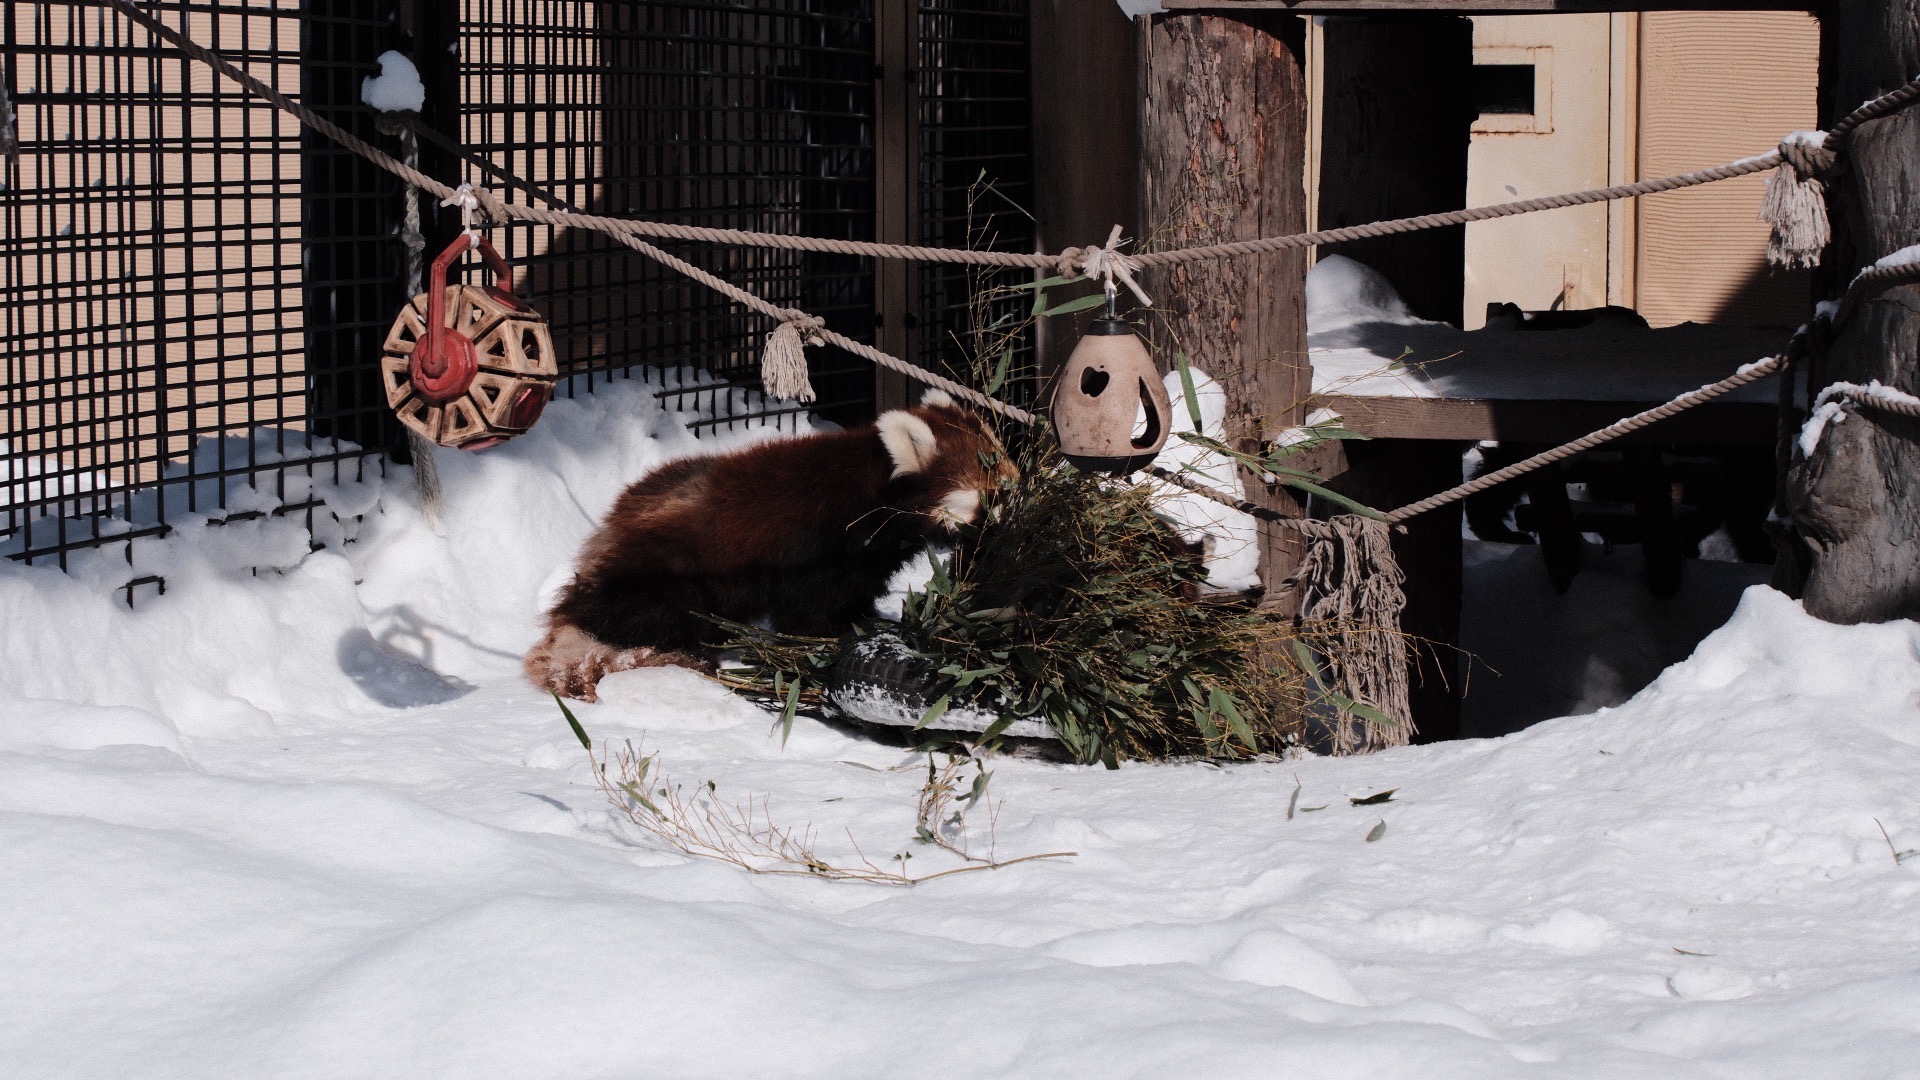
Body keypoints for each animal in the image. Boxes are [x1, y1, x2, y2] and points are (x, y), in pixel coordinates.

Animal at [518, 386, 1013, 699]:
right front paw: (827, 639)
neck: (873, 495)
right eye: (996, 495)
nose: (1017, 521)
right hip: (669, 574)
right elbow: (811, 613)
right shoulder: (818, 555)